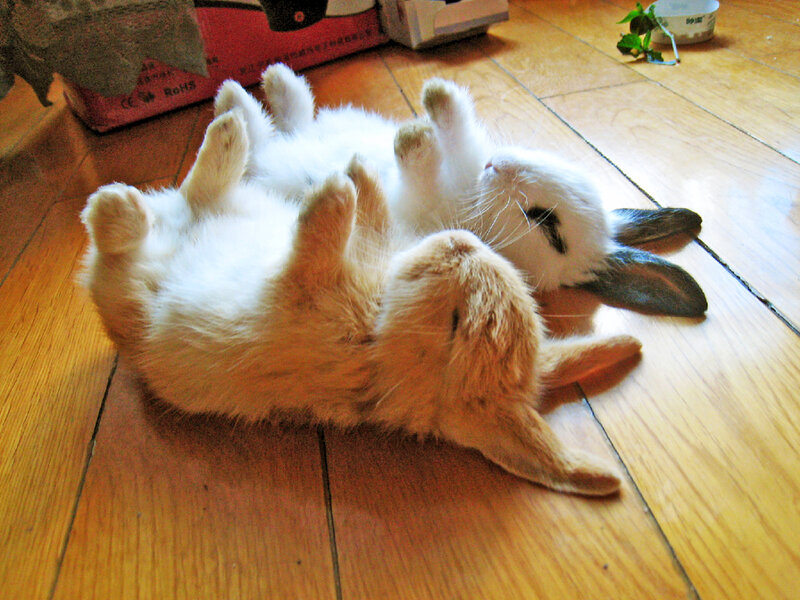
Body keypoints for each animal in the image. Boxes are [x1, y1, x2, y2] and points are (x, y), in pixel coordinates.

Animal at [80, 107, 644, 496]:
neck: (378, 330)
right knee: (197, 196)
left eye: (458, 323)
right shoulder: (372, 248)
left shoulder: (297, 299)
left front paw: (333, 194)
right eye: (493, 266)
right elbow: (371, 217)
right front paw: (356, 172)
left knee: (128, 237)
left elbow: (311, 252)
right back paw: (227, 130)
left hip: (134, 283)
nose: (458, 243)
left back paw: (118, 202)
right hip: (231, 209)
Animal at [212, 63, 707, 318]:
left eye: (546, 224)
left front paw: (414, 139)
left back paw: (237, 100)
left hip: (264, 161)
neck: (472, 192)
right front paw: (435, 96)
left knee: (258, 138)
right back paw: (265, 82)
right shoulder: (465, 159)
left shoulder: (418, 209)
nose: (501, 164)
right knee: (285, 121)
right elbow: (457, 129)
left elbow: (422, 169)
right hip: (297, 134)